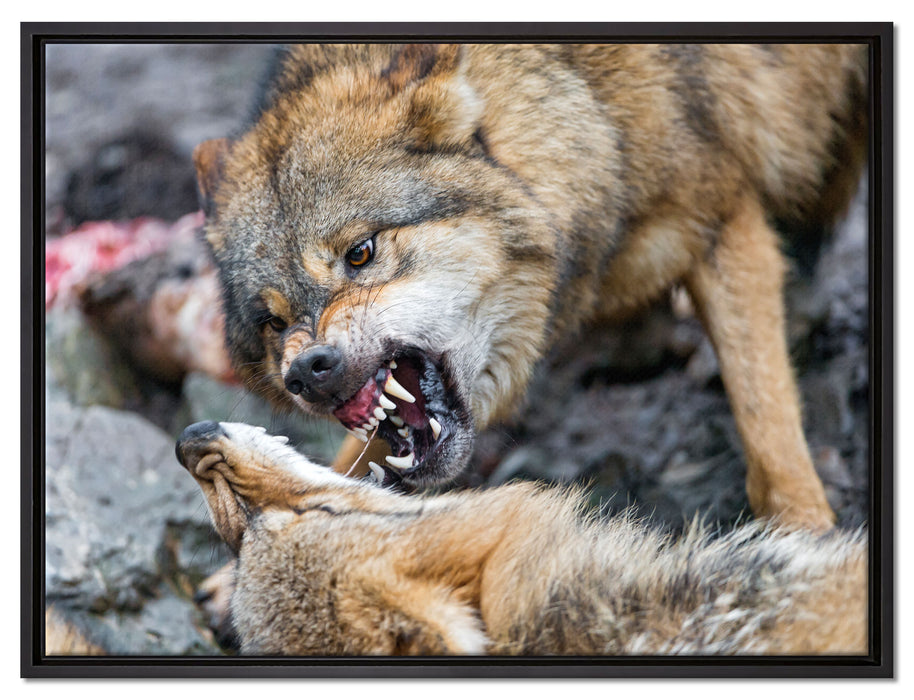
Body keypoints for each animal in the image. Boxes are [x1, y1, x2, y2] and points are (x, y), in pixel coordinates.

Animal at [193, 43, 867, 529]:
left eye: (360, 253)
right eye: (273, 323)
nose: (307, 371)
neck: (590, 110)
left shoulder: (724, 218)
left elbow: (764, 412)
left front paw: (805, 532)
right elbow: (353, 463)